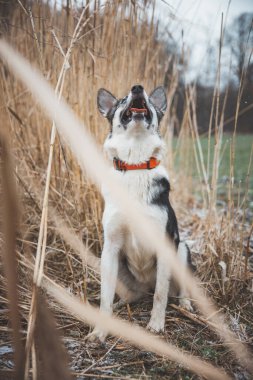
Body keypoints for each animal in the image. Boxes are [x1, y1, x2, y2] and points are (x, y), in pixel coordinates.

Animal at [90, 84, 193, 340]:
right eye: (123, 100)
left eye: (148, 100)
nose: (137, 88)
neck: (135, 164)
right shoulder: (111, 246)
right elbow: (105, 297)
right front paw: (100, 331)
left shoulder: (165, 244)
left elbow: (160, 295)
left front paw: (156, 325)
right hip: (111, 264)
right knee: (130, 295)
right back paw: (121, 304)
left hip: (182, 251)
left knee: (176, 290)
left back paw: (185, 304)